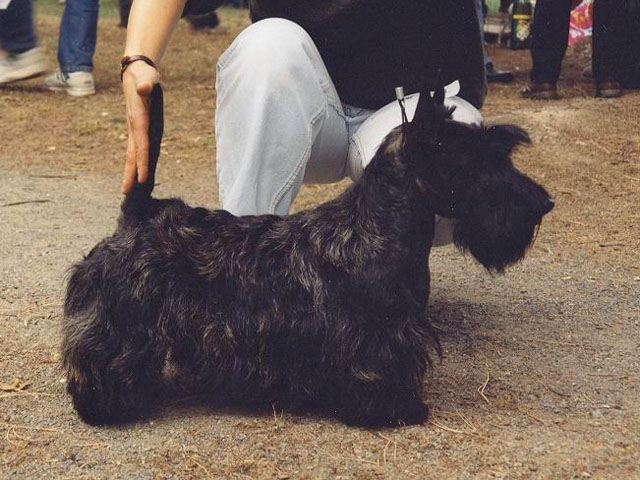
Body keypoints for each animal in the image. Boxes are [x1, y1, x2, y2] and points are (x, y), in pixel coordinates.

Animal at [62, 84, 553, 428]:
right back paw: (105, 405)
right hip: (123, 319)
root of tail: (139, 214)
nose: (544, 204)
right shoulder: (374, 336)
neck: (377, 225)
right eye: (480, 160)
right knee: (102, 356)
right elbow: (378, 370)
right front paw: (395, 409)